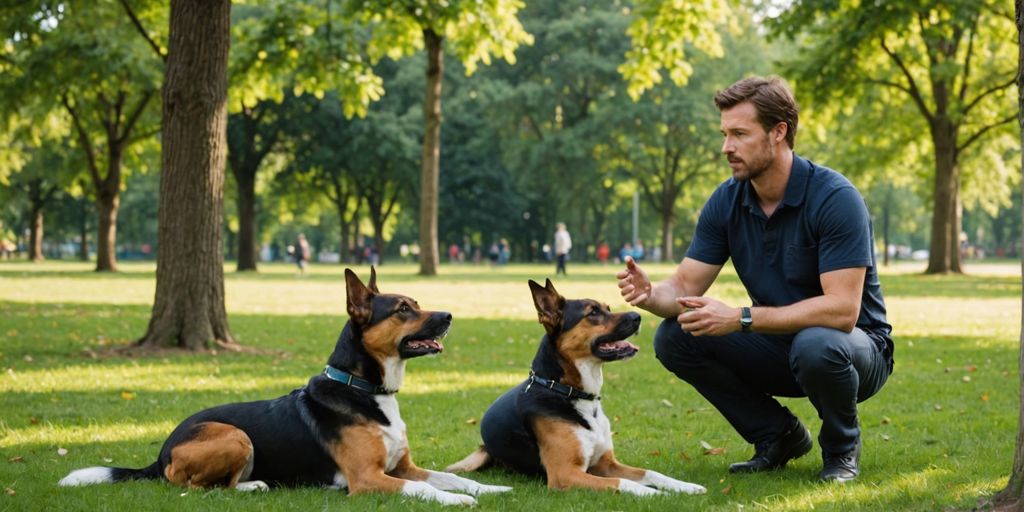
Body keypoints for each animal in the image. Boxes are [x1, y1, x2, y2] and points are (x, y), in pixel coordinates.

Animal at [59, 268, 512, 503]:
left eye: (416, 303)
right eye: (403, 309)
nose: (449, 316)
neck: (365, 391)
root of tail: (161, 454)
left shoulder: (403, 467)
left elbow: (453, 478)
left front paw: (491, 487)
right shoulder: (368, 479)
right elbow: (425, 490)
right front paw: (459, 502)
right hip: (235, 436)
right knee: (195, 488)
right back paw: (253, 485)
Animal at [444, 280, 708, 495]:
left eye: (608, 308)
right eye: (593, 313)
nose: (637, 316)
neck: (567, 392)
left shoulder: (606, 464)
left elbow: (651, 472)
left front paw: (685, 486)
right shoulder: (565, 474)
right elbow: (623, 483)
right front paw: (655, 494)